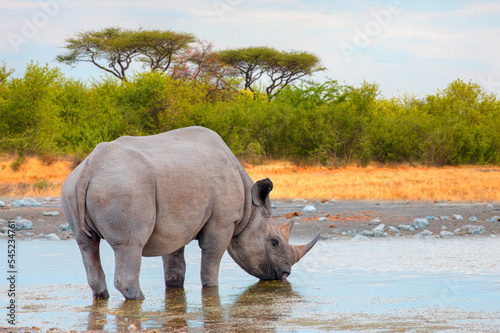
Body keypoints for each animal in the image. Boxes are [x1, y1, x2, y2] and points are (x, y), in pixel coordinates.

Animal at [61, 126, 320, 300]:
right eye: (275, 242)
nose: (285, 274)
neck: (250, 209)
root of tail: (90, 167)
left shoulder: (174, 224)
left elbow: (175, 265)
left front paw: (175, 289)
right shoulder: (222, 223)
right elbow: (210, 264)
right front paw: (211, 292)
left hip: (73, 188)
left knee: (86, 244)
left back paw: (102, 298)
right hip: (123, 187)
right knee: (129, 245)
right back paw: (140, 300)